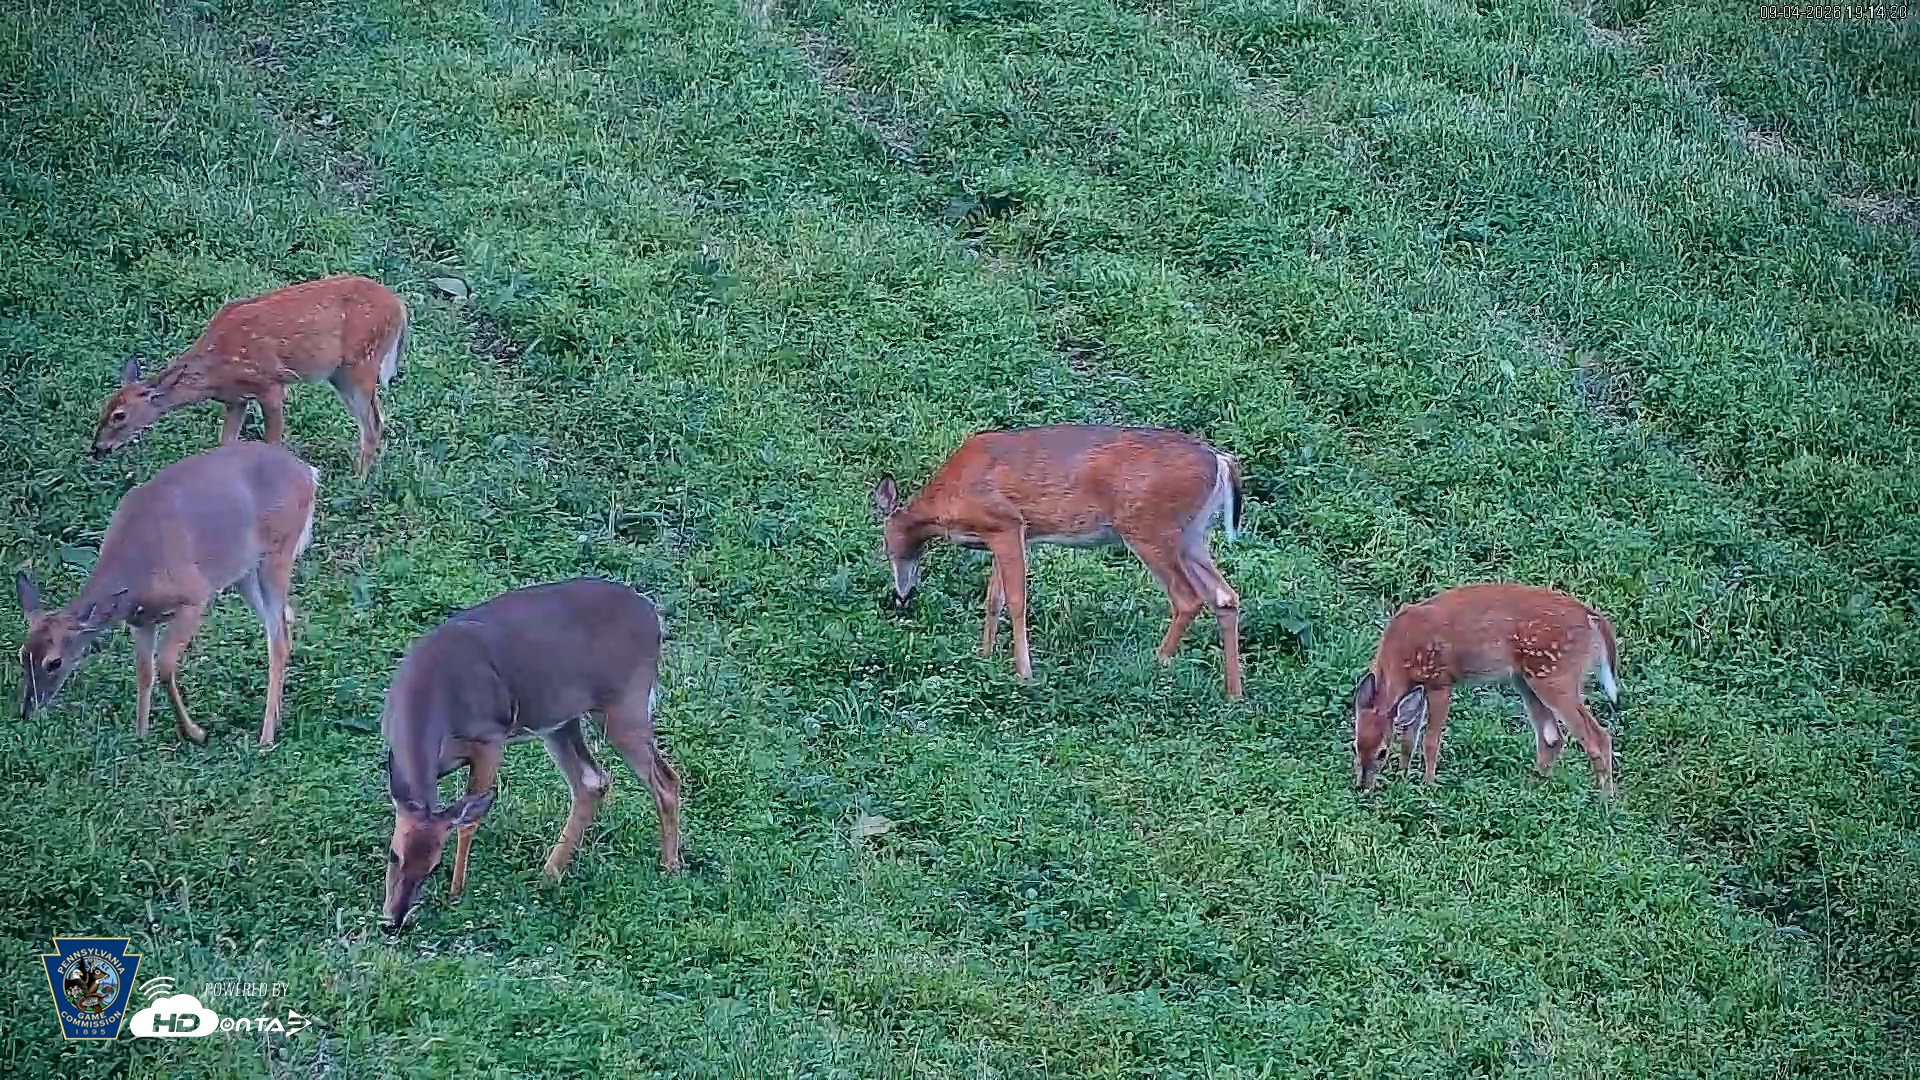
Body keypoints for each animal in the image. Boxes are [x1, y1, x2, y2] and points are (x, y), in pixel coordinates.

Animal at [15, 441, 319, 748]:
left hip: (278, 552)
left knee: (278, 639)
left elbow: (164, 666)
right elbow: (144, 673)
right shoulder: (140, 621)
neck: (134, 572)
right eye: (22, 654)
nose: (26, 711)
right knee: (284, 622)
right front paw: (140, 735)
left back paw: (266, 737)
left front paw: (195, 732)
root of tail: (308, 472)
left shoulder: (194, 597)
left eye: (54, 662)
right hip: (244, 572)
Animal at [90, 274, 407, 479]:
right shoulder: (236, 399)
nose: (97, 448)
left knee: (373, 422)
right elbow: (226, 442)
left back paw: (358, 481)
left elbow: (271, 443)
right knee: (376, 418)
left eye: (119, 415)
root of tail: (400, 308)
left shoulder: (270, 384)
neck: (214, 371)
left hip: (360, 363)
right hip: (340, 373)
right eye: (103, 409)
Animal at [379, 578, 682, 931]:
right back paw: (549, 874)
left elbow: (470, 819)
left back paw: (670, 866)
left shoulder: (489, 739)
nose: (394, 920)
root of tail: (652, 616)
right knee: (592, 781)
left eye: (433, 866)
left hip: (623, 706)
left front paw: (455, 894)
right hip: (561, 721)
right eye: (393, 854)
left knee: (665, 780)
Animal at [872, 424, 1246, 699]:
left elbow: (1016, 601)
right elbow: (993, 600)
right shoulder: (1000, 535)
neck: (946, 501)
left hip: (1150, 528)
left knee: (1188, 597)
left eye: (886, 547)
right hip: (1192, 535)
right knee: (1225, 596)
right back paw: (1233, 693)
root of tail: (1221, 460)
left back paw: (1156, 664)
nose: (902, 595)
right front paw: (983, 656)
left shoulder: (1007, 523)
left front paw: (1024, 673)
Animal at [1351, 582, 1620, 796]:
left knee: (1597, 736)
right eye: (1355, 746)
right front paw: (1403, 779)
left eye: (1382, 752)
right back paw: (1532, 789)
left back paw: (1605, 801)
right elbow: (1409, 737)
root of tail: (1594, 619)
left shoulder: (1441, 681)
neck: (1401, 653)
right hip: (1527, 679)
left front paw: (1428, 786)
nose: (1362, 787)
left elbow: (1430, 740)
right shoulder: (1419, 685)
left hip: (1557, 675)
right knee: (1552, 737)